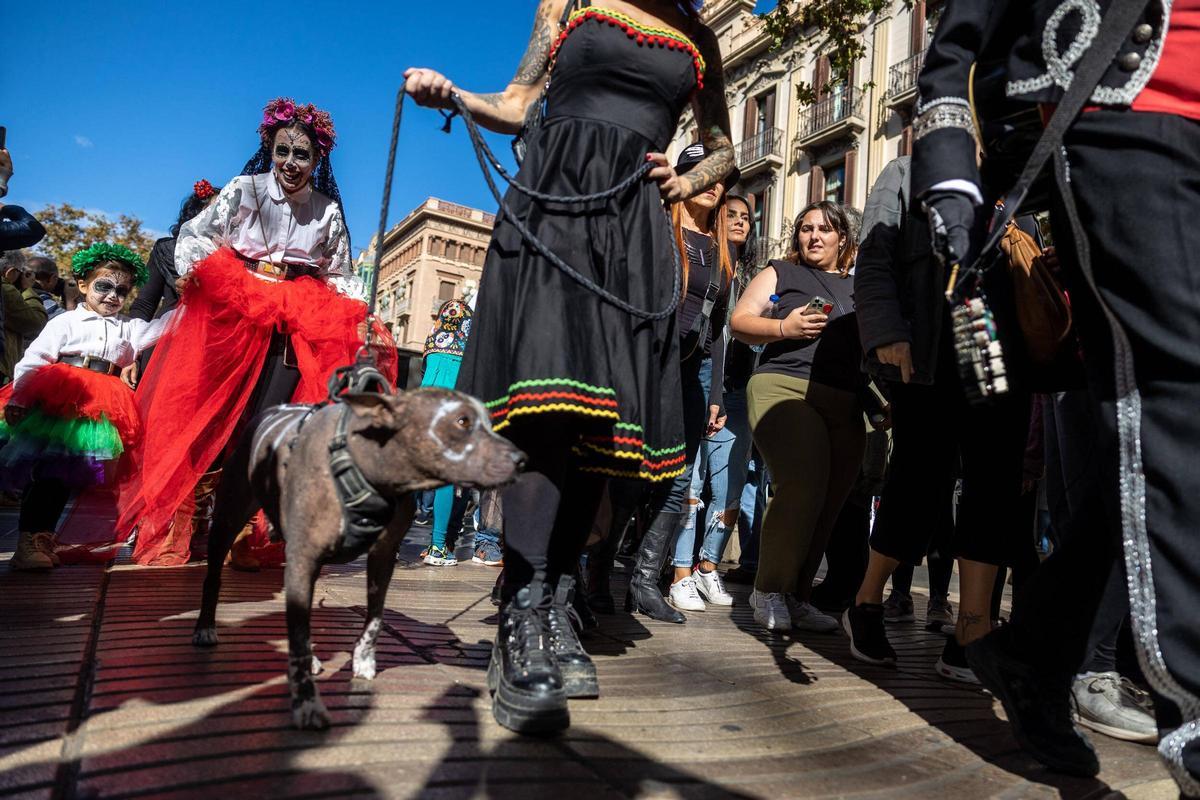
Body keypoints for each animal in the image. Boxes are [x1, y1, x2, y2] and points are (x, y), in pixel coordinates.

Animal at [190, 388, 520, 734]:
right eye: (462, 421)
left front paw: (363, 659)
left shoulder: (383, 556)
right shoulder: (302, 559)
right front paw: (307, 702)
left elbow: (374, 618)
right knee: (214, 577)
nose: (521, 459)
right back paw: (205, 628)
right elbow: (297, 636)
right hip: (228, 517)